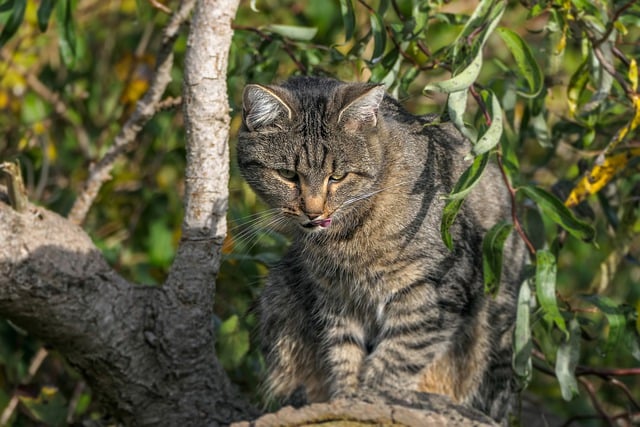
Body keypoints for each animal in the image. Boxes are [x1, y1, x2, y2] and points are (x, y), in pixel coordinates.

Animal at [238, 76, 528, 422]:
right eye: (287, 175)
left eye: (338, 176)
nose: (314, 212)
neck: (347, 237)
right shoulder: (336, 295)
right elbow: (344, 351)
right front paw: (346, 396)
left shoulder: (438, 287)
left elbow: (399, 353)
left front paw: (371, 396)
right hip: (280, 289)